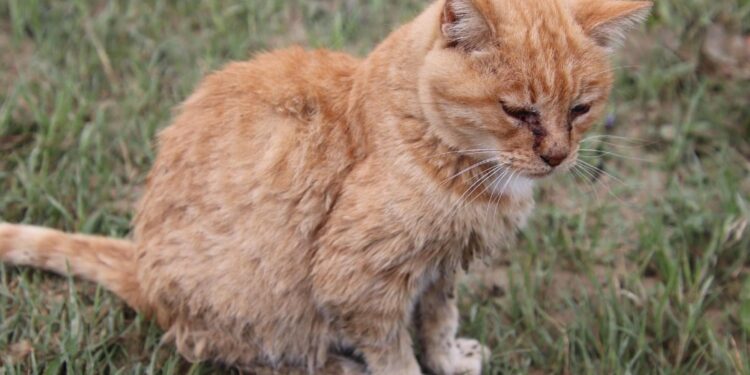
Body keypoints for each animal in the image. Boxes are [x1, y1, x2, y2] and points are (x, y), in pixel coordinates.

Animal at [0, 1, 652, 374]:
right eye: (517, 111)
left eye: (581, 109)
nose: (557, 156)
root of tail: (140, 265)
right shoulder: (361, 284)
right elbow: (395, 356)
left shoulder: (441, 268)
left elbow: (438, 321)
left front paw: (448, 359)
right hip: (254, 310)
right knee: (216, 351)